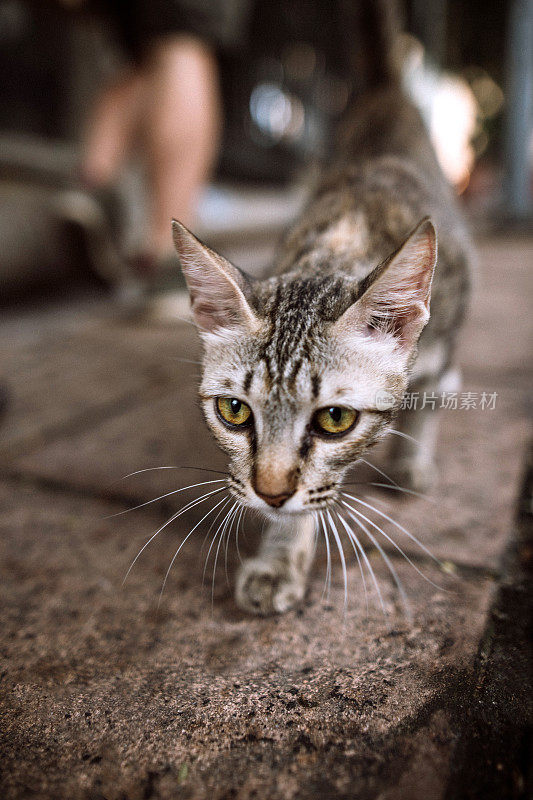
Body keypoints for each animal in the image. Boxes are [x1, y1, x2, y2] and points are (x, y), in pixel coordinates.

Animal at [172, 4, 472, 612]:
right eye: (234, 411)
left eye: (336, 419)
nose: (269, 493)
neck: (344, 239)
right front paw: (282, 552)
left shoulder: (449, 327)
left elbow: (433, 397)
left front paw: (414, 456)